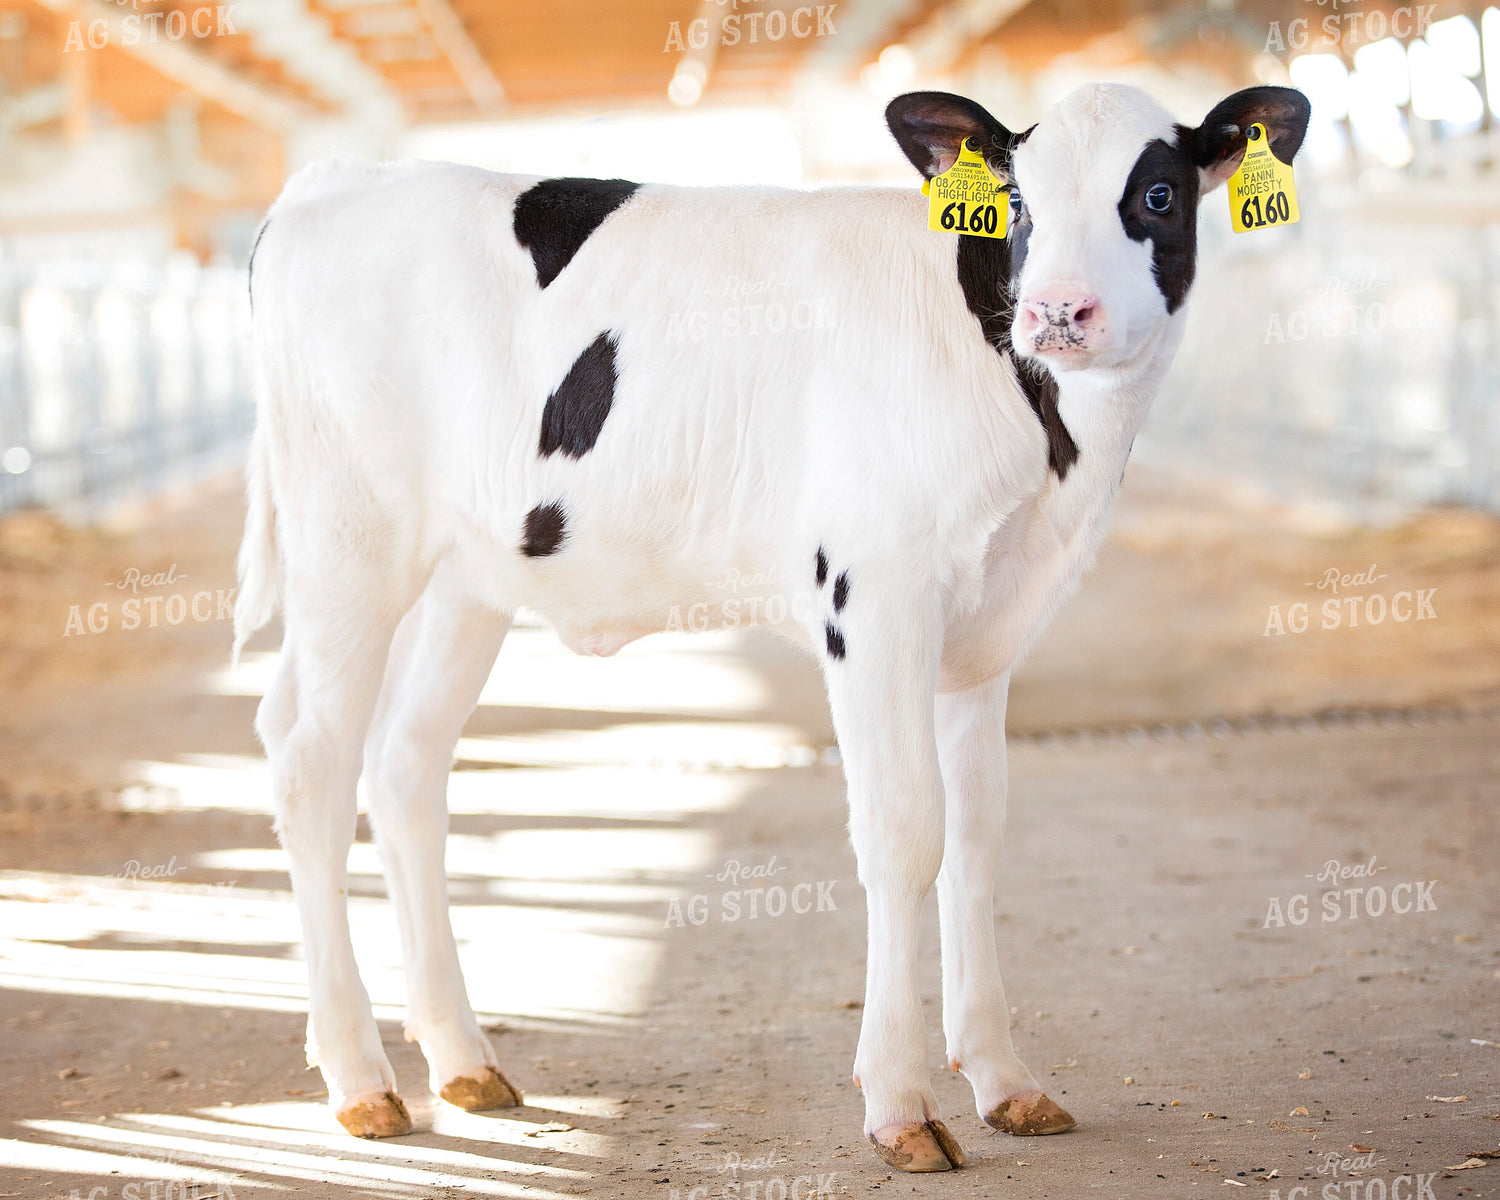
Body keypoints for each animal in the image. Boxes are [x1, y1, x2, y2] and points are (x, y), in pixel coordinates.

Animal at [235, 81, 1310, 1172]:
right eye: (1017, 201)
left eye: (1160, 194)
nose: (1058, 309)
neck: (1053, 457)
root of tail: (333, 181)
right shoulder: (875, 594)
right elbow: (906, 830)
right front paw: (901, 1105)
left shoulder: (984, 628)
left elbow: (978, 834)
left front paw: (1006, 1080)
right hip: (349, 540)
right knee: (310, 762)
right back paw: (363, 1082)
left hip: (465, 575)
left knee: (404, 763)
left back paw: (463, 1061)